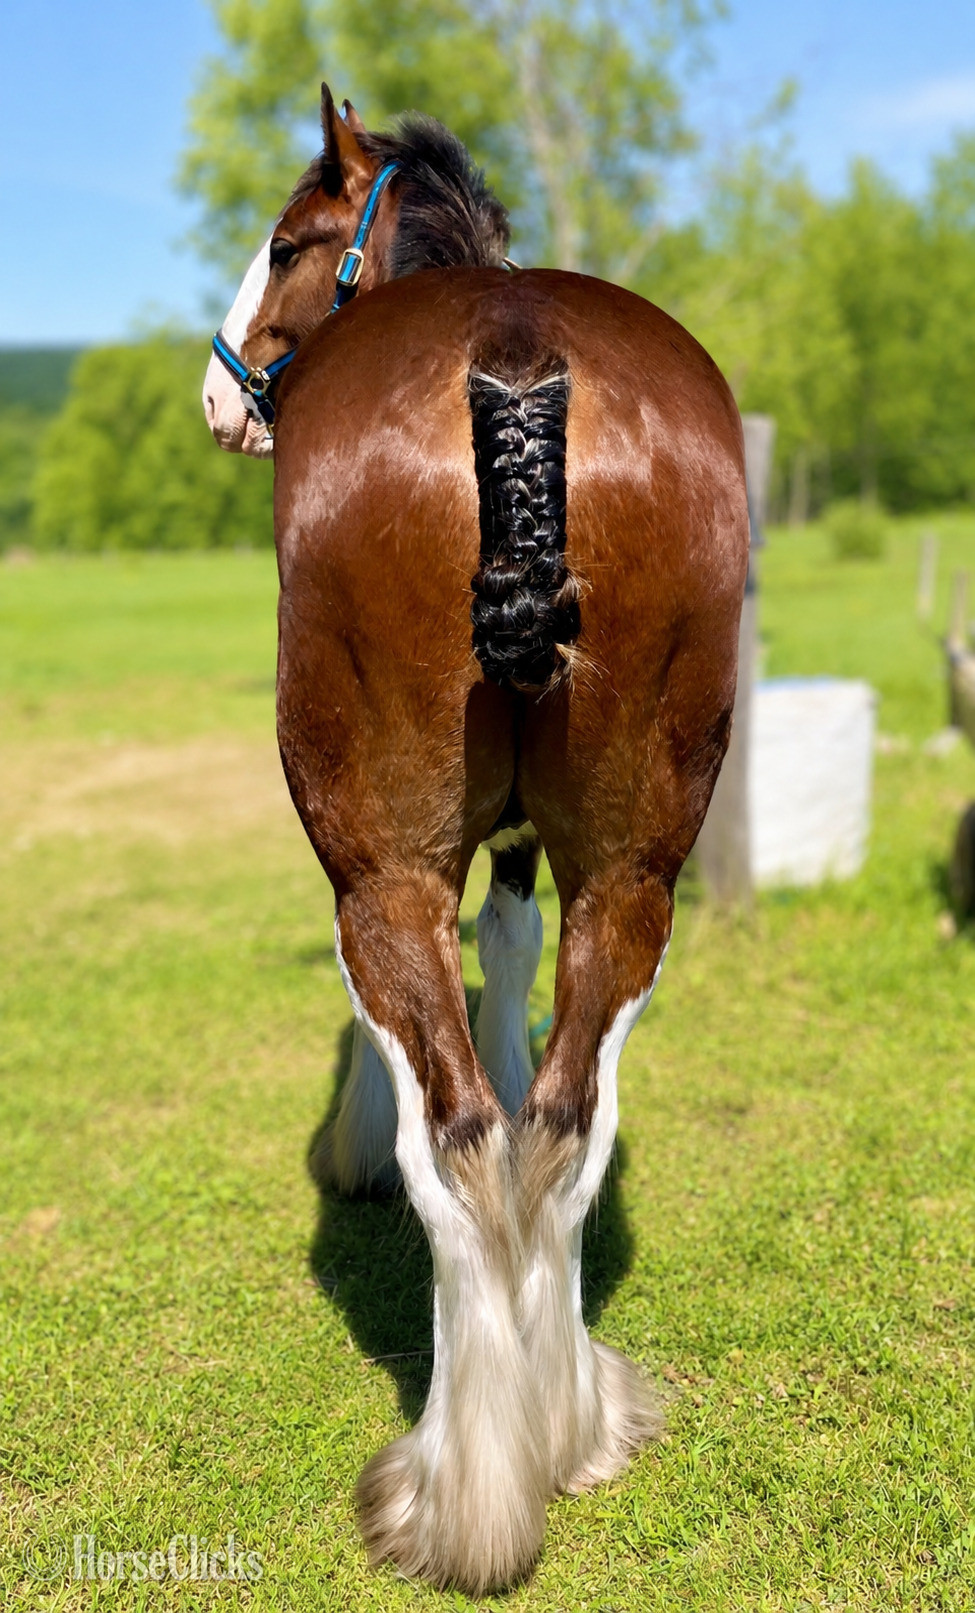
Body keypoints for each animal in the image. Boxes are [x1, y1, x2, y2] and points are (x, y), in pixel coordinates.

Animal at [203, 84, 748, 1595]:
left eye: (287, 242)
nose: (217, 393)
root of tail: (510, 355)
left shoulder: (369, 851)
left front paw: (352, 1130)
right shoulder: (526, 842)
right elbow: (509, 948)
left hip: (376, 863)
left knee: (451, 1141)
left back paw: (464, 1499)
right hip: (635, 871)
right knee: (563, 1124)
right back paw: (571, 1422)